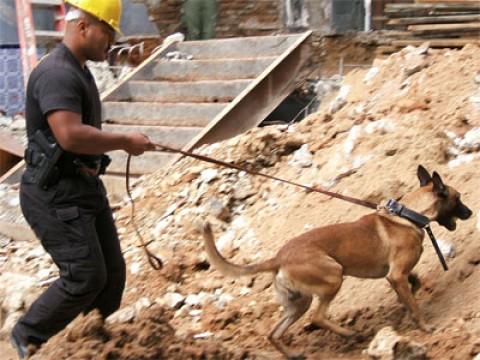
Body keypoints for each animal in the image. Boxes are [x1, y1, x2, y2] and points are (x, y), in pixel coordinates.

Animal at [202, 165, 472, 358]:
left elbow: (414, 285)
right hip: (333, 277)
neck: (408, 215)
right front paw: (423, 326)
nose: (470, 213)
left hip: (298, 303)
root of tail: (278, 258)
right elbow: (413, 302)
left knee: (274, 333)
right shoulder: (395, 274)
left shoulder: (396, 275)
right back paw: (350, 334)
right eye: (458, 198)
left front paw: (404, 307)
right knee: (317, 318)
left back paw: (294, 354)